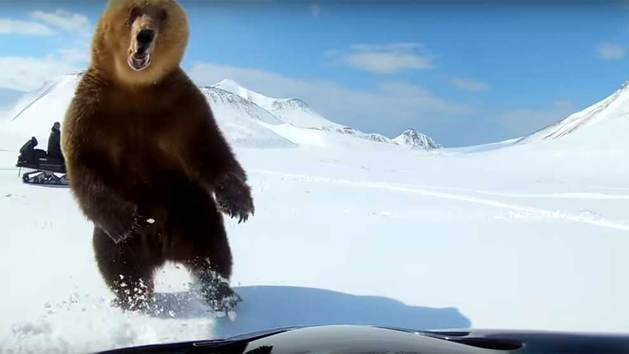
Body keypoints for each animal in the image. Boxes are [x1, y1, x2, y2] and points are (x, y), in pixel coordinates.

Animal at [60, 0, 253, 310]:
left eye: (162, 15)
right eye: (133, 12)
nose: (145, 35)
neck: (136, 87)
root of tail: (164, 251)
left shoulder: (181, 103)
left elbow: (208, 147)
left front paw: (238, 202)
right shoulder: (92, 107)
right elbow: (85, 161)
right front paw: (124, 222)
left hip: (186, 204)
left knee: (211, 245)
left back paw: (220, 292)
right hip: (133, 221)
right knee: (117, 258)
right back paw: (134, 297)